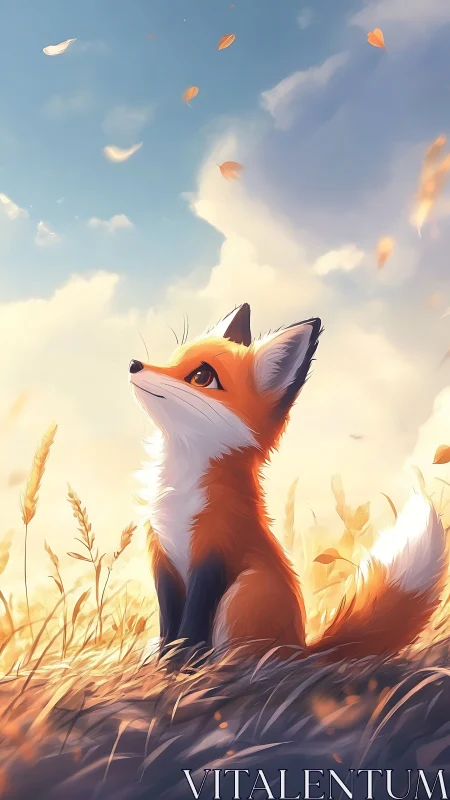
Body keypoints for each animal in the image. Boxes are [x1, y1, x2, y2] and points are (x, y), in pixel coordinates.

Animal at [129, 303, 447, 663]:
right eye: (173, 357)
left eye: (201, 377)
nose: (134, 364)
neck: (179, 493)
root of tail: (303, 648)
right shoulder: (163, 557)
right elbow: (169, 623)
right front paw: (162, 664)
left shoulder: (214, 552)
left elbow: (191, 627)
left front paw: (182, 667)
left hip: (244, 591)